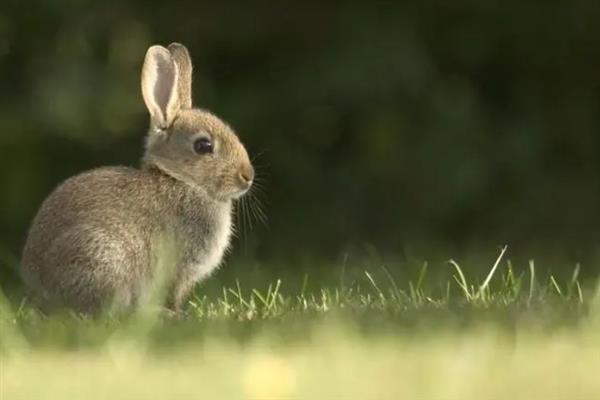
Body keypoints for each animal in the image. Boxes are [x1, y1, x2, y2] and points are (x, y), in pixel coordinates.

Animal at [19, 42, 254, 314]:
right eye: (203, 146)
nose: (247, 176)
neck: (182, 180)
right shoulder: (178, 269)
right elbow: (173, 294)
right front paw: (176, 313)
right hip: (102, 258)